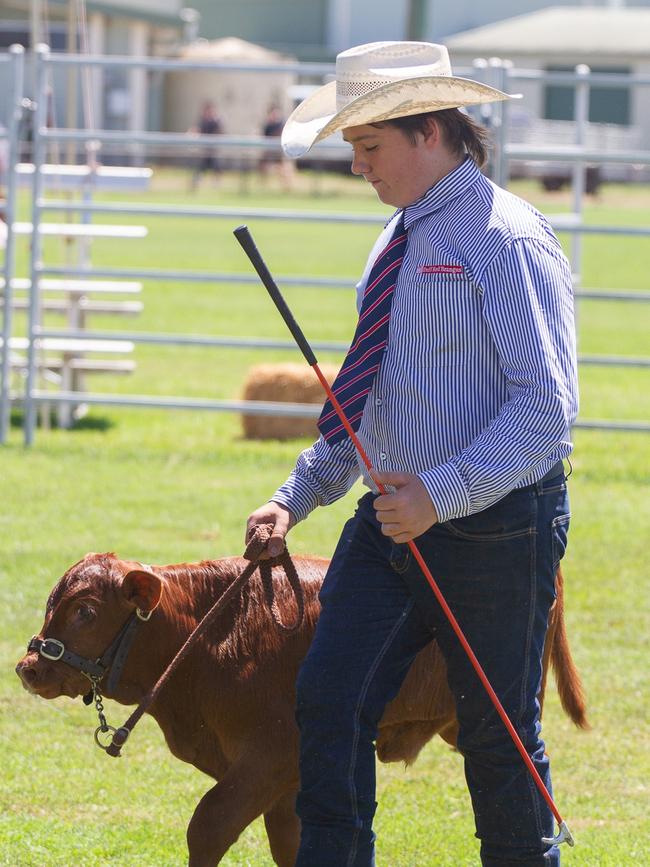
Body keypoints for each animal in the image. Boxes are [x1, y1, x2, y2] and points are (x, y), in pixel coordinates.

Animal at [15, 552, 584, 864]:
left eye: (87, 610)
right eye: (51, 601)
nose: (28, 667)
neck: (211, 639)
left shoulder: (270, 759)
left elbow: (208, 825)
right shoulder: (288, 782)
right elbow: (289, 842)